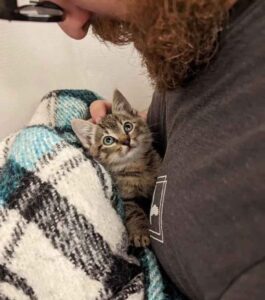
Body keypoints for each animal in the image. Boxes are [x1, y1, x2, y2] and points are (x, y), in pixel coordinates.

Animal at [71, 89, 160, 248]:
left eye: (127, 126)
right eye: (108, 140)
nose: (126, 141)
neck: (136, 165)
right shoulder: (126, 197)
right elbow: (134, 212)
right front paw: (139, 232)